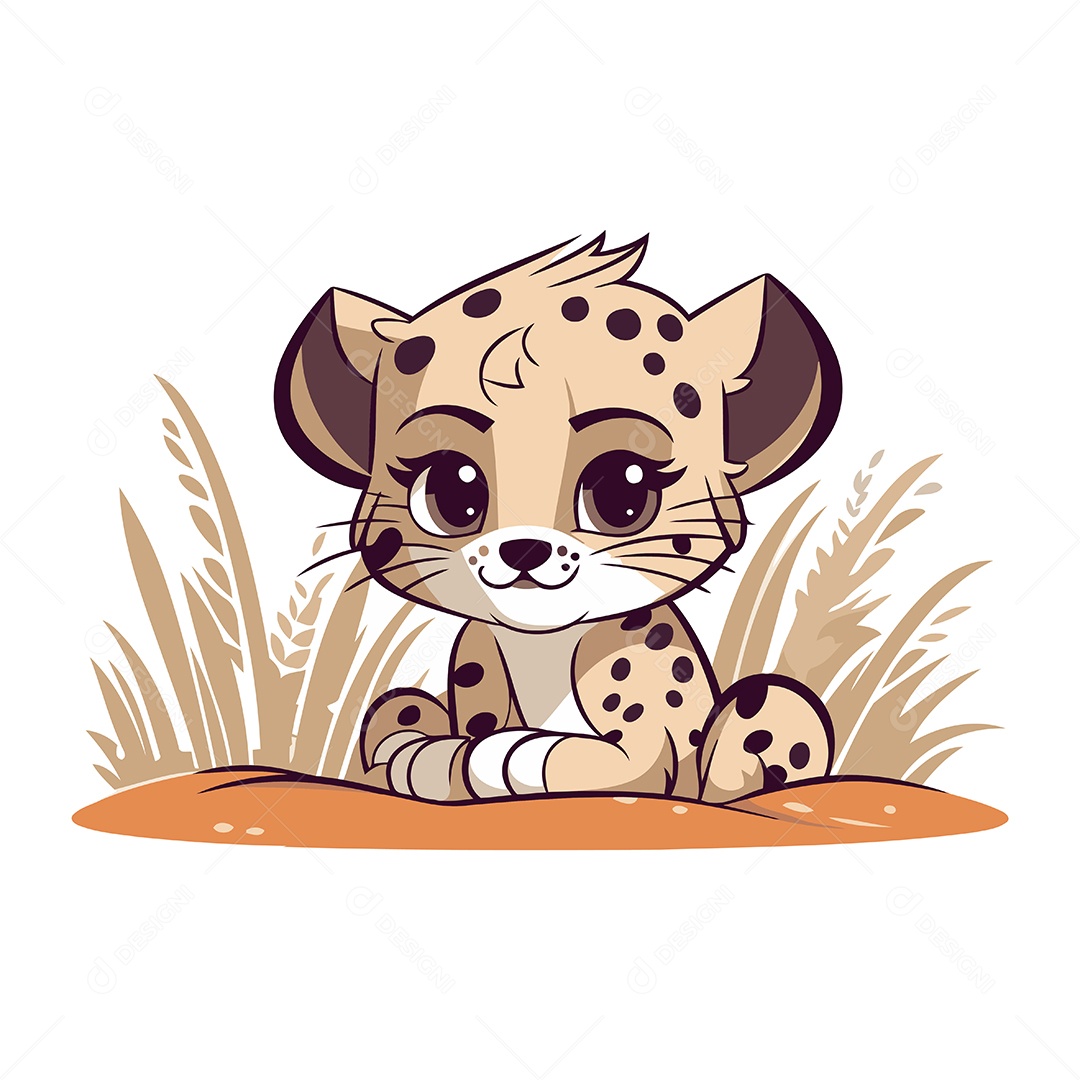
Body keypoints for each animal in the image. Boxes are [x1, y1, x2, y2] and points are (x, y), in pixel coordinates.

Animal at [275, 234, 841, 804]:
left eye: (622, 490)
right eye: (451, 488)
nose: (524, 548)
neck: (541, 643)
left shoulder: (647, 754)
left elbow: (555, 756)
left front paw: (476, 759)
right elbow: (431, 731)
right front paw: (420, 758)